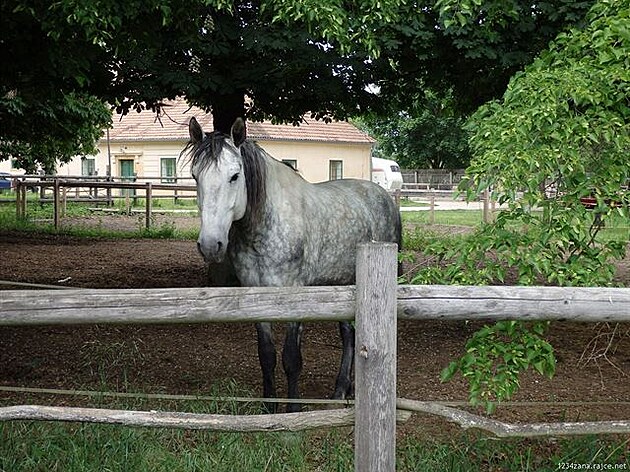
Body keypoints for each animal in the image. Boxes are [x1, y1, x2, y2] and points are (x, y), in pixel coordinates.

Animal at [184, 116, 400, 412]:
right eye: (195, 176)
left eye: (235, 176)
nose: (209, 244)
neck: (267, 227)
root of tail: (383, 197)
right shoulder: (257, 297)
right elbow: (266, 355)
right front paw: (269, 407)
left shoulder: (294, 298)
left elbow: (291, 358)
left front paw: (293, 408)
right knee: (349, 335)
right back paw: (342, 389)